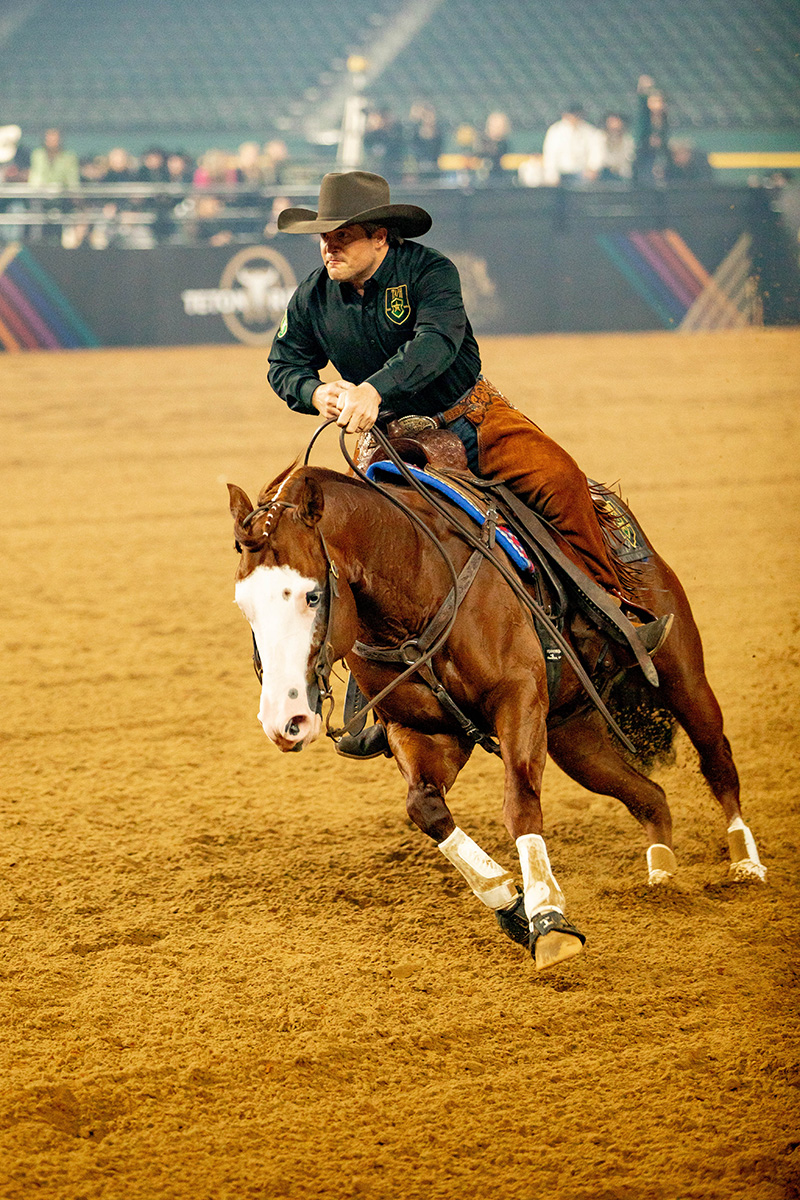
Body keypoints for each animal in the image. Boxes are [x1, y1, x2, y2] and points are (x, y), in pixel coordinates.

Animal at [225, 446, 762, 969]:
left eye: (312, 595)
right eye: (243, 605)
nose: (284, 720)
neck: (418, 579)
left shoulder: (518, 698)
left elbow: (520, 804)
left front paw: (548, 920)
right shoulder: (418, 729)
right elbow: (426, 808)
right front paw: (511, 903)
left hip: (682, 676)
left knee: (717, 758)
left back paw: (745, 863)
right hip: (575, 740)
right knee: (651, 796)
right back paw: (662, 878)